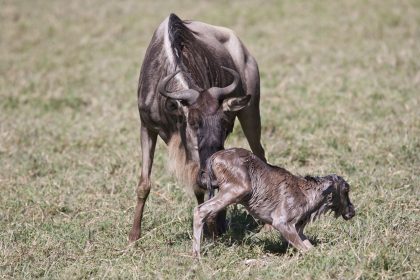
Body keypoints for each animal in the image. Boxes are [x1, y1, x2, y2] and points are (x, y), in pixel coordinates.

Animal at [193, 148, 354, 258]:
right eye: (346, 189)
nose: (352, 212)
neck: (309, 194)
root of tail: (214, 157)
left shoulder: (298, 229)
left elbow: (311, 248)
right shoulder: (282, 223)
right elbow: (304, 249)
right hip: (238, 189)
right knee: (200, 210)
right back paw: (197, 256)